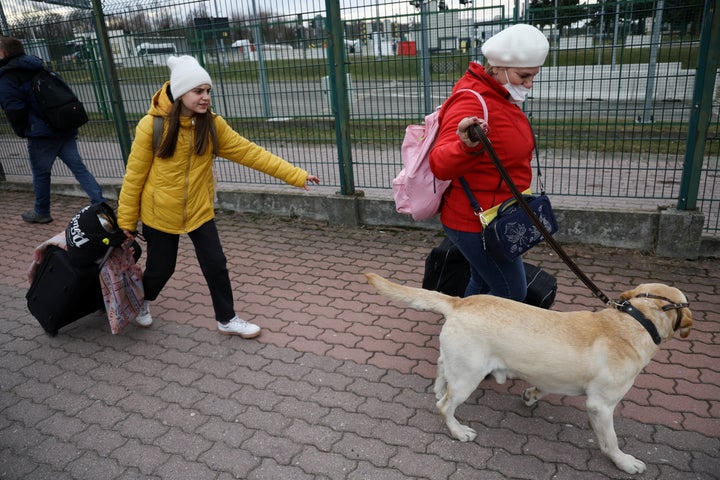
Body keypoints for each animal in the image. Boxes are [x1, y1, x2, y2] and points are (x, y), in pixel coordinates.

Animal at [366, 272, 692, 474]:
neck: (637, 320)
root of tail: (461, 301)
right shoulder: (601, 405)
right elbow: (610, 440)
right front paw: (624, 462)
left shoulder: (552, 374)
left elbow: (543, 386)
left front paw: (531, 395)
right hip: (468, 377)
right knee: (444, 406)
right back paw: (458, 430)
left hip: (458, 362)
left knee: (440, 367)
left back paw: (437, 387)